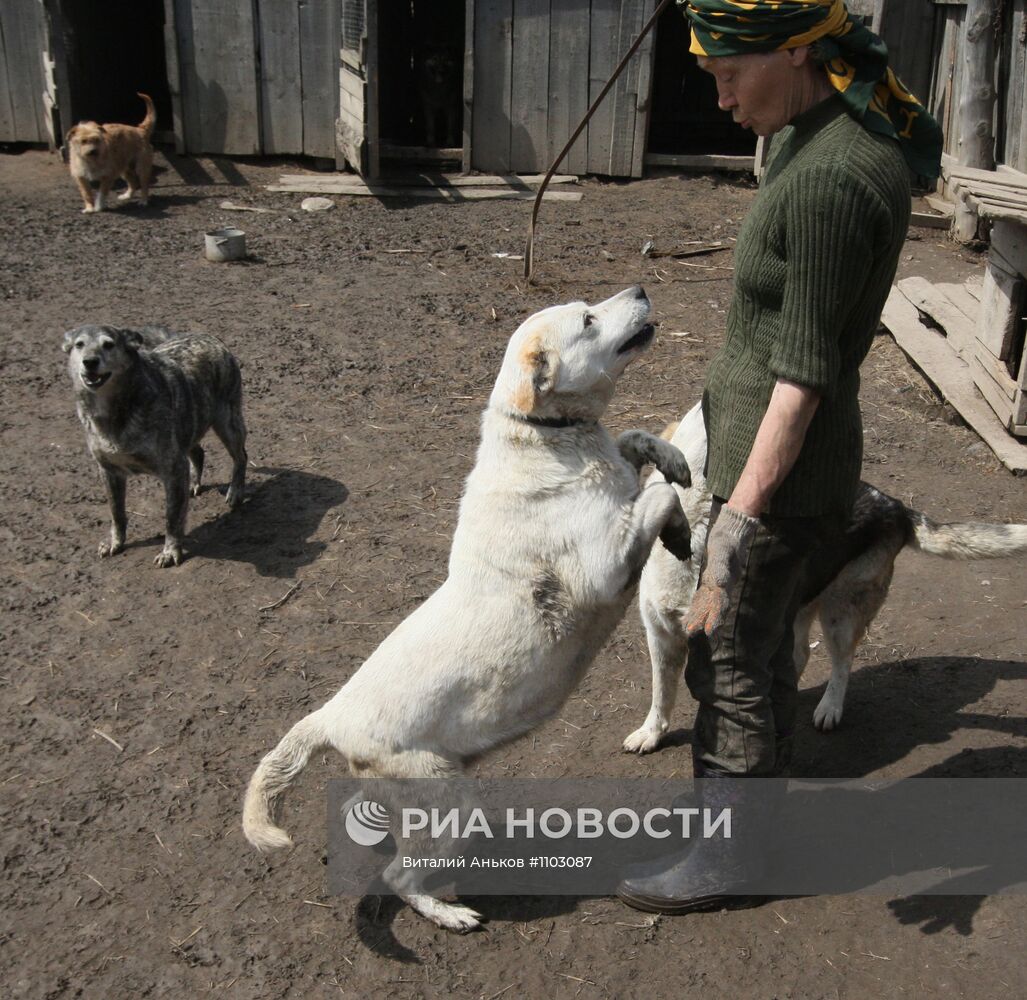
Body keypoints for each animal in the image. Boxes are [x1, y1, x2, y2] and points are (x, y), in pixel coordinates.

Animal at [64, 324, 248, 566]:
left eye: (109, 344)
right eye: (79, 344)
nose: (90, 361)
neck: (115, 413)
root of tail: (205, 334)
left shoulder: (173, 468)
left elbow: (172, 517)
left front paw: (170, 551)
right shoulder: (109, 471)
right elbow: (116, 513)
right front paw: (115, 542)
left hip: (227, 423)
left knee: (241, 457)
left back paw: (235, 492)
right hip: (189, 426)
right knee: (198, 452)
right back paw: (194, 483)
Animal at [241, 285, 694, 936]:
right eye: (587, 320)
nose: (638, 289)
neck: (547, 440)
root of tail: (331, 715)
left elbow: (638, 444)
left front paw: (674, 462)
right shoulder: (605, 571)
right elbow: (657, 496)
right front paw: (677, 520)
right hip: (447, 801)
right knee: (400, 878)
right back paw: (451, 914)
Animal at [620, 402, 1027, 755]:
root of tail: (896, 506)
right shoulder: (660, 636)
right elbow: (660, 693)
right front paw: (651, 733)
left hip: (840, 614)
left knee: (842, 662)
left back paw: (830, 708)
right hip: (800, 606)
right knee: (799, 654)